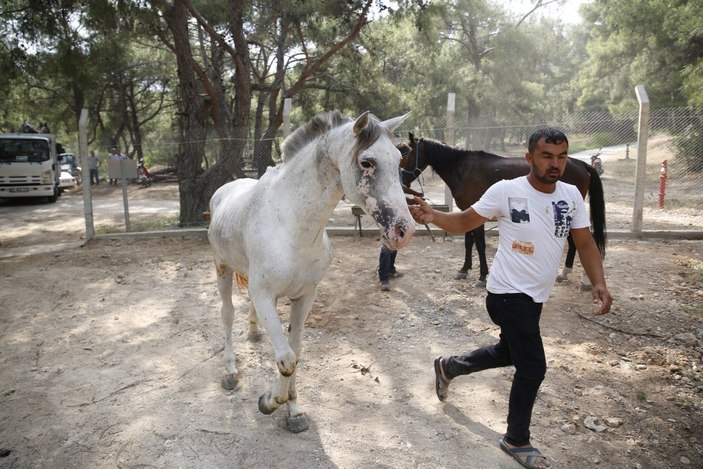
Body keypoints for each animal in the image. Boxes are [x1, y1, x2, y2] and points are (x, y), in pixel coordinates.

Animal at [206, 109, 416, 432]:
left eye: (398, 158)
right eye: (367, 162)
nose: (403, 231)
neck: (292, 227)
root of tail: (224, 191)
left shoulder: (304, 297)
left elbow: (297, 352)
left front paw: (293, 410)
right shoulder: (264, 295)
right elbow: (286, 358)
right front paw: (269, 402)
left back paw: (254, 333)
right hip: (222, 268)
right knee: (227, 315)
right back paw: (230, 371)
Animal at [402, 132, 604, 286]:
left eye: (405, 154)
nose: (402, 181)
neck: (464, 169)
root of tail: (581, 164)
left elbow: (480, 245)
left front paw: (482, 276)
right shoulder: (468, 212)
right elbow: (468, 242)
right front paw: (464, 269)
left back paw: (571, 275)